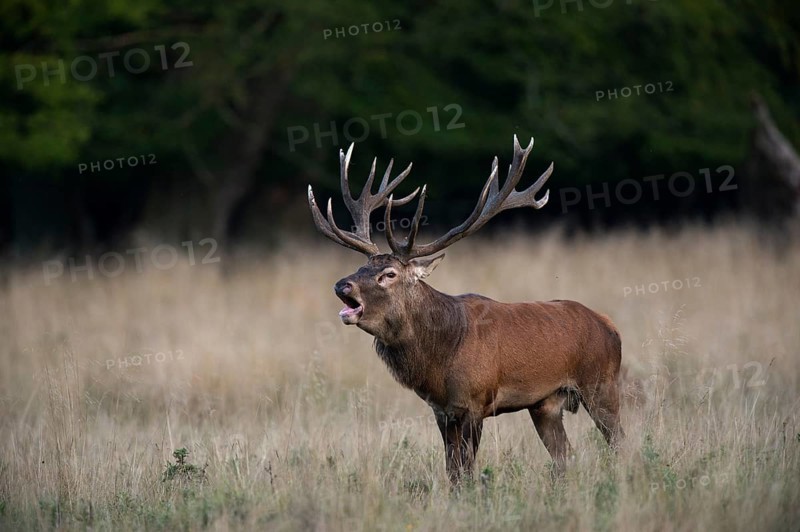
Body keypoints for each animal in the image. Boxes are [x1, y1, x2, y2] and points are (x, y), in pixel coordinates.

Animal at [307, 136, 624, 485]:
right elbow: (453, 472)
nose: (341, 286)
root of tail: (610, 325)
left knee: (620, 444)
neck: (440, 358)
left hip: (601, 384)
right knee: (565, 455)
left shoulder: (475, 401)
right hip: (545, 403)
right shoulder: (442, 410)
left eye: (388, 274)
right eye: (362, 266)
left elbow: (467, 471)